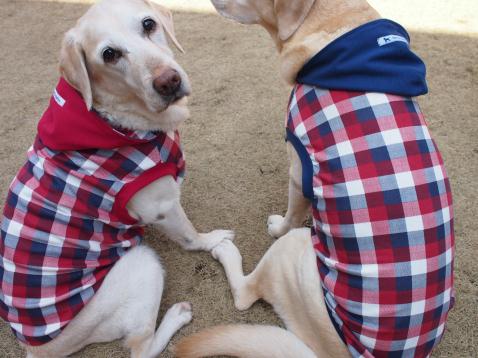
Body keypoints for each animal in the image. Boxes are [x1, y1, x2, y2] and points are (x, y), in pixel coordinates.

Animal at [0, 0, 233, 358]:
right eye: (109, 54)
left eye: (149, 24)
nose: (168, 81)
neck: (114, 120)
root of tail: (37, 348)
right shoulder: (160, 206)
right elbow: (191, 235)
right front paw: (212, 239)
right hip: (142, 263)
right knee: (141, 347)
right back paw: (177, 316)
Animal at [176, 0, 456, 358]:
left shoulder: (299, 168)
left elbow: (292, 213)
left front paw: (277, 223)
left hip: (291, 251)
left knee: (245, 294)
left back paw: (226, 251)